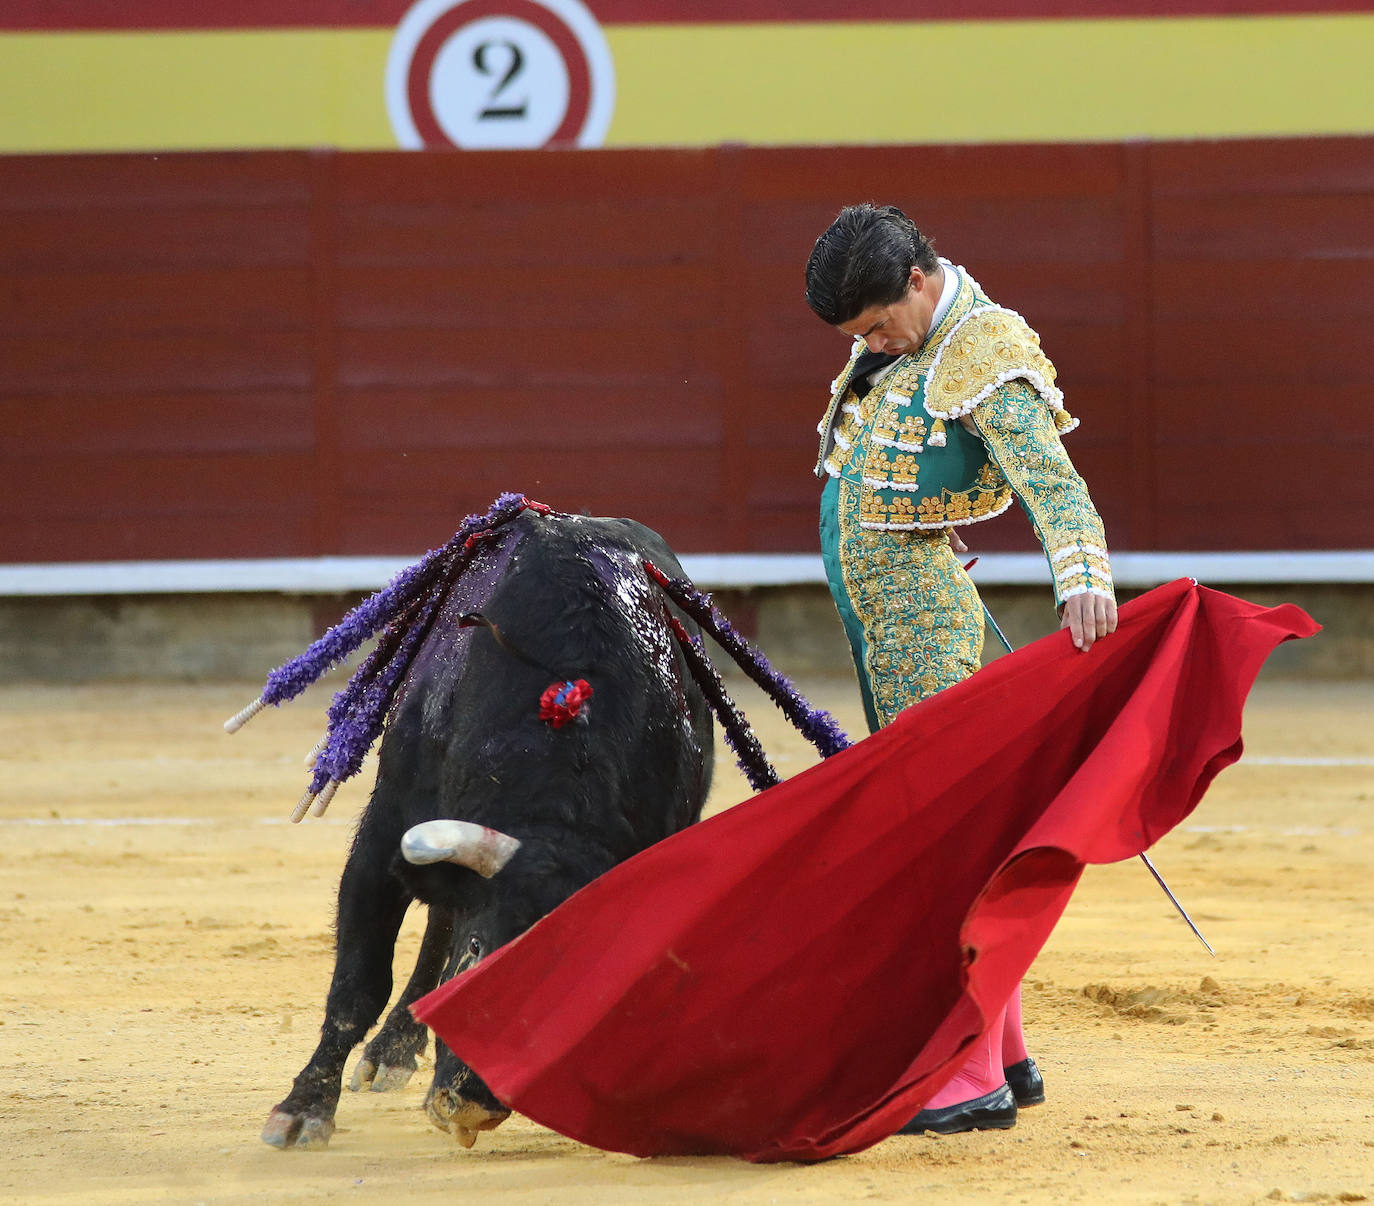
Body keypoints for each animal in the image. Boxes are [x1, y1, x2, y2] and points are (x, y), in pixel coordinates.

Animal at [261, 510, 714, 1153]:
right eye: (479, 951)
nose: (471, 1105)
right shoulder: (384, 838)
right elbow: (359, 981)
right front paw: (303, 1111)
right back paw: (386, 1054)